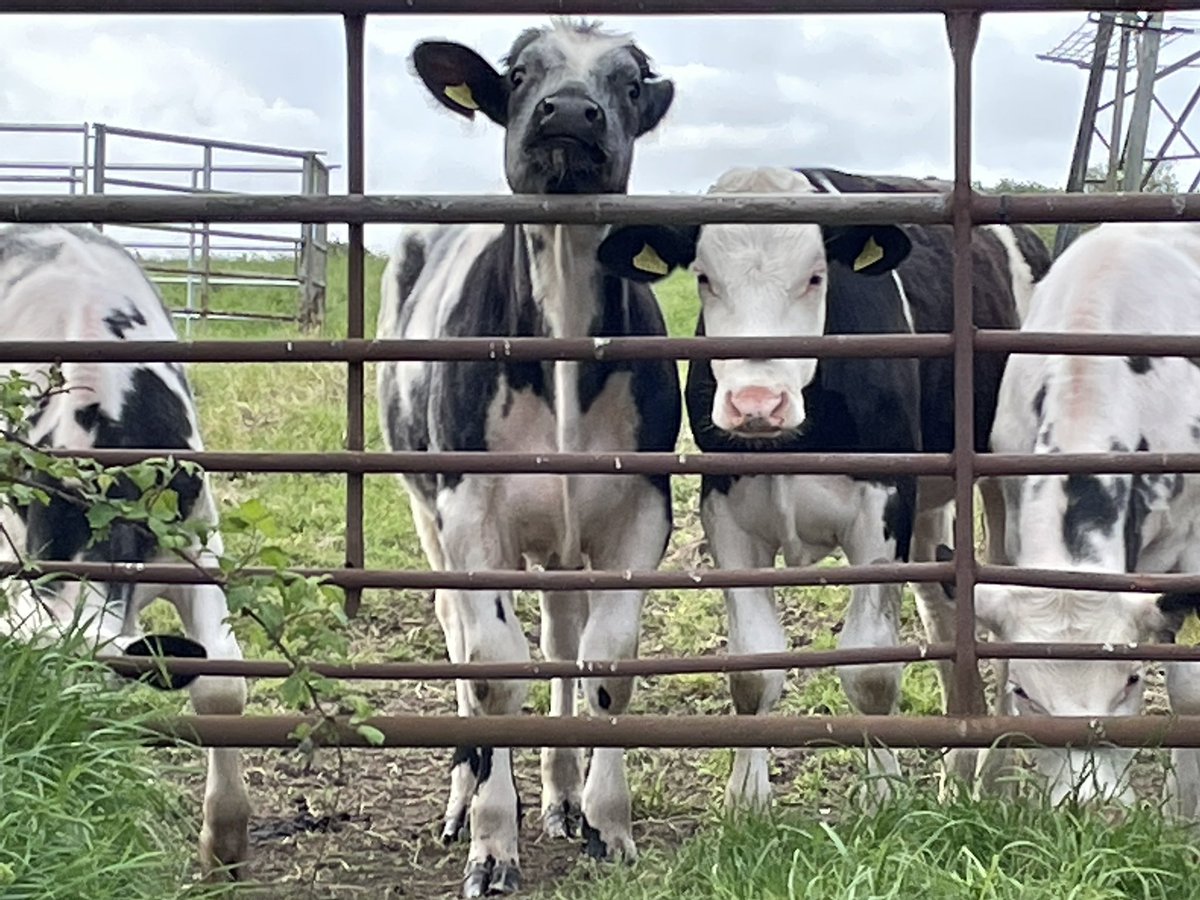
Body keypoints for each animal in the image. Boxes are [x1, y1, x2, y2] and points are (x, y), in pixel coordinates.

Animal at [375, 20, 679, 897]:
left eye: (629, 81)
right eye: (517, 74)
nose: (569, 111)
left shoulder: (642, 508)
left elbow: (606, 660)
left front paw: (608, 823)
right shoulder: (469, 511)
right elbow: (492, 667)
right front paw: (491, 844)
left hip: (561, 541)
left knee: (561, 642)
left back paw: (563, 797)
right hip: (427, 512)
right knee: (459, 641)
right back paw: (461, 800)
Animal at [595, 165, 1051, 807]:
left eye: (816, 276)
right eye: (705, 278)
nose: (756, 403)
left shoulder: (882, 504)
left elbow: (871, 670)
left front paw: (884, 795)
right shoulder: (726, 509)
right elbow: (753, 667)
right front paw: (747, 801)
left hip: (1003, 475)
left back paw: (996, 772)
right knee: (942, 608)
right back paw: (960, 770)